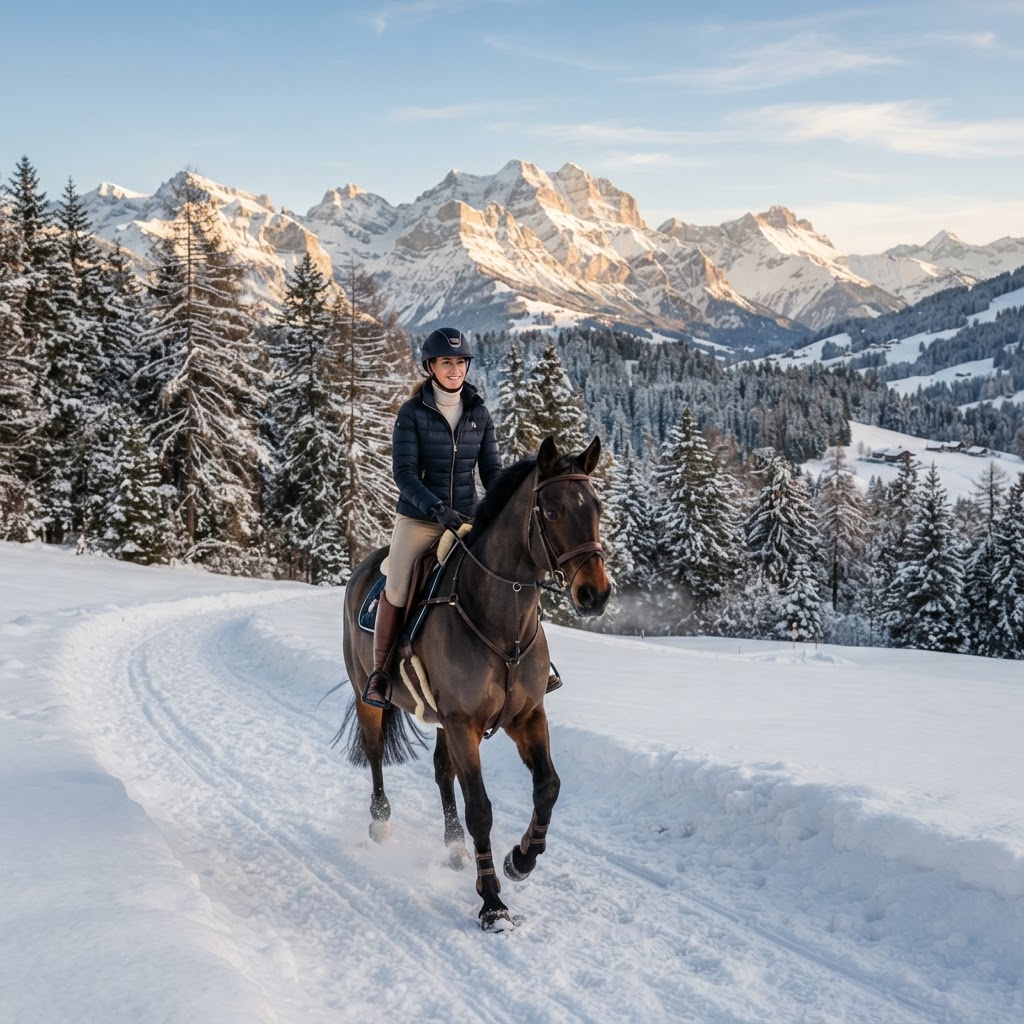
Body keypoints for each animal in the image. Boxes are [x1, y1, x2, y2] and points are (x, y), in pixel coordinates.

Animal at [338, 435, 611, 930]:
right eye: (553, 511)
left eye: (597, 507)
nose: (594, 594)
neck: (502, 621)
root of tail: (364, 568)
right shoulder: (464, 723)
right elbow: (480, 809)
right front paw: (493, 903)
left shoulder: (526, 716)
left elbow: (549, 786)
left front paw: (520, 860)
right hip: (369, 696)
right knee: (375, 754)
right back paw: (381, 822)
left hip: (443, 720)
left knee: (441, 772)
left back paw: (454, 848)